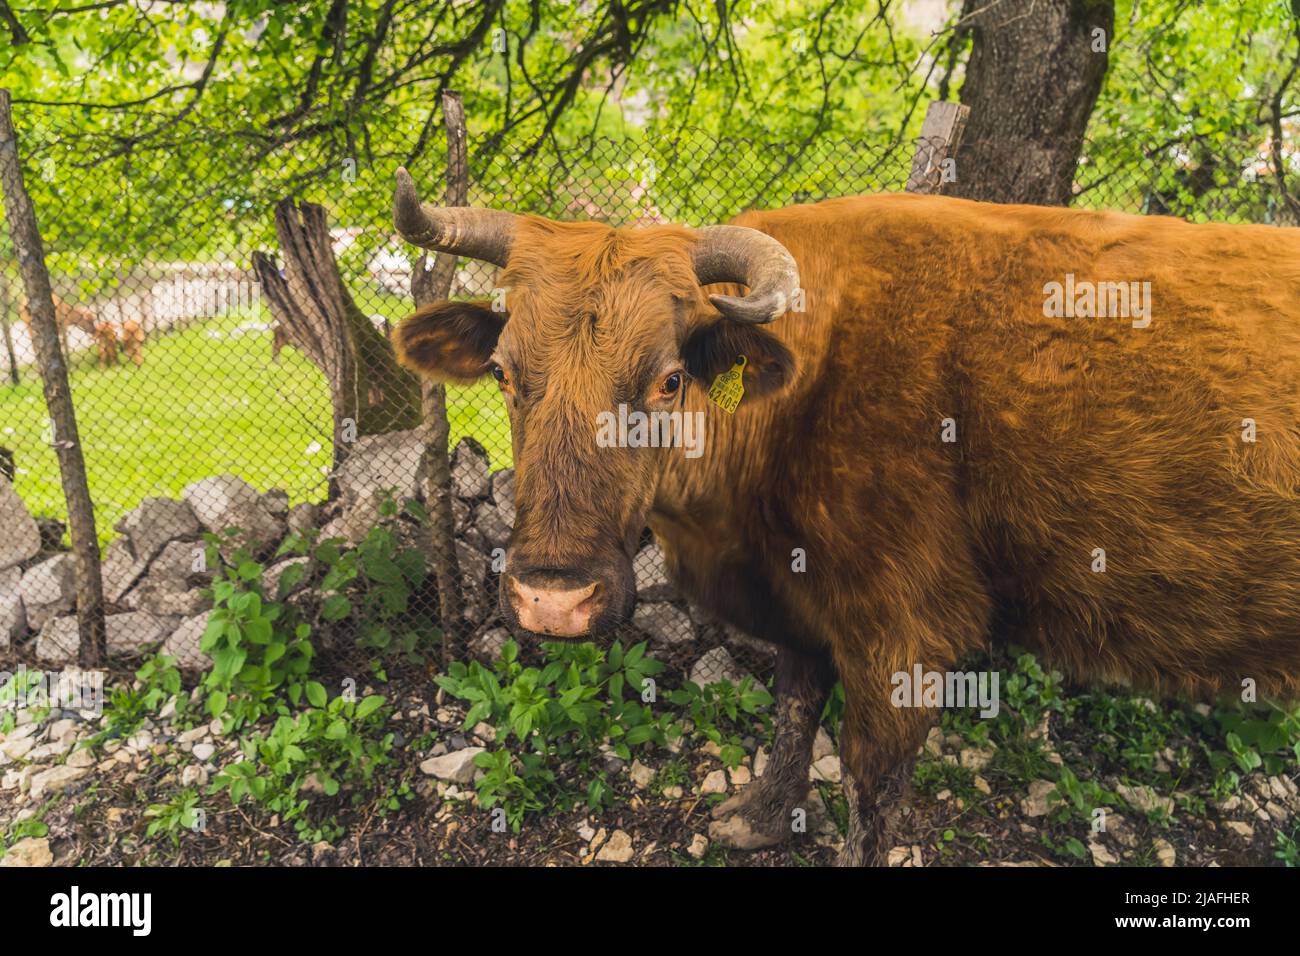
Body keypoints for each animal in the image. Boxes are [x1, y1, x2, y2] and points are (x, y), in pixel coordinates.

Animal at [388, 168, 1300, 865]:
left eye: (669, 380)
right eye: (503, 373)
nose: (554, 600)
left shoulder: (903, 633)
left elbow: (871, 788)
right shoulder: (799, 598)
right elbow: (795, 705)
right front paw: (760, 819)